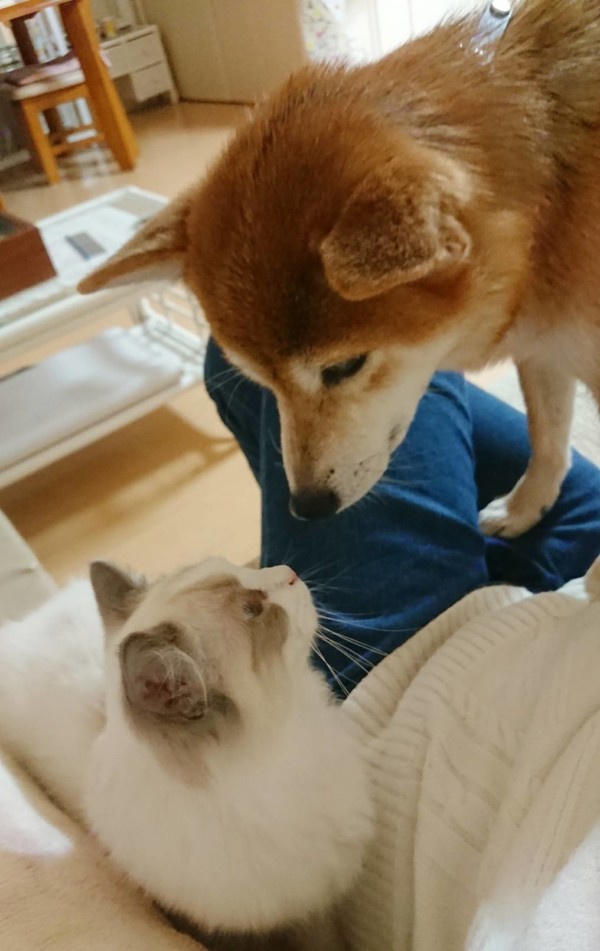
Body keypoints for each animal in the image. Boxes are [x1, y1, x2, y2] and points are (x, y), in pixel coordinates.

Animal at [80, 0, 600, 535]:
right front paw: (527, 506)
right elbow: (548, 437)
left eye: (344, 367)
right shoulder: (544, 348)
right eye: (261, 383)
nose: (307, 506)